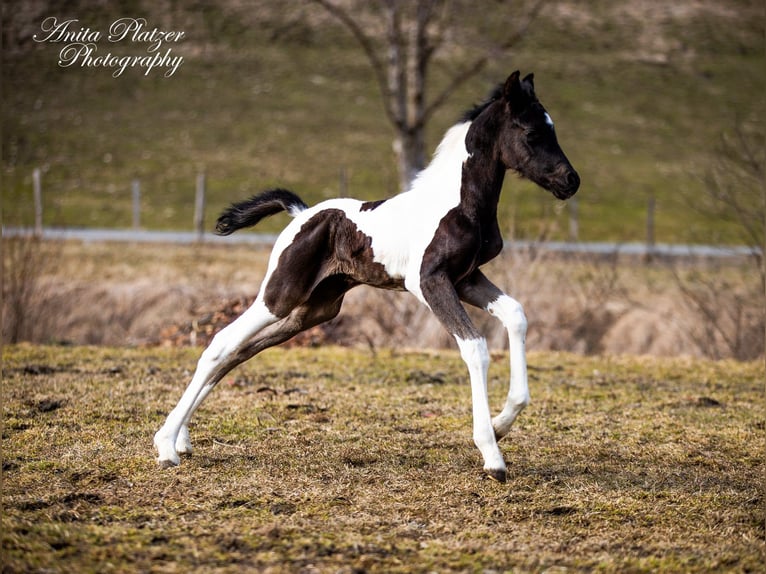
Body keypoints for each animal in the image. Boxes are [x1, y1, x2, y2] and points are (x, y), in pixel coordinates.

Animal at [154, 71, 579, 483]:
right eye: (531, 133)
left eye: (553, 128)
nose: (571, 181)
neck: (458, 204)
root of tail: (301, 213)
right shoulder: (430, 281)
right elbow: (475, 347)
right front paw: (492, 454)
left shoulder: (467, 277)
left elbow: (516, 315)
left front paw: (502, 423)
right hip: (280, 294)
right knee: (221, 343)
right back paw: (166, 446)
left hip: (315, 309)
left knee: (239, 352)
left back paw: (182, 440)